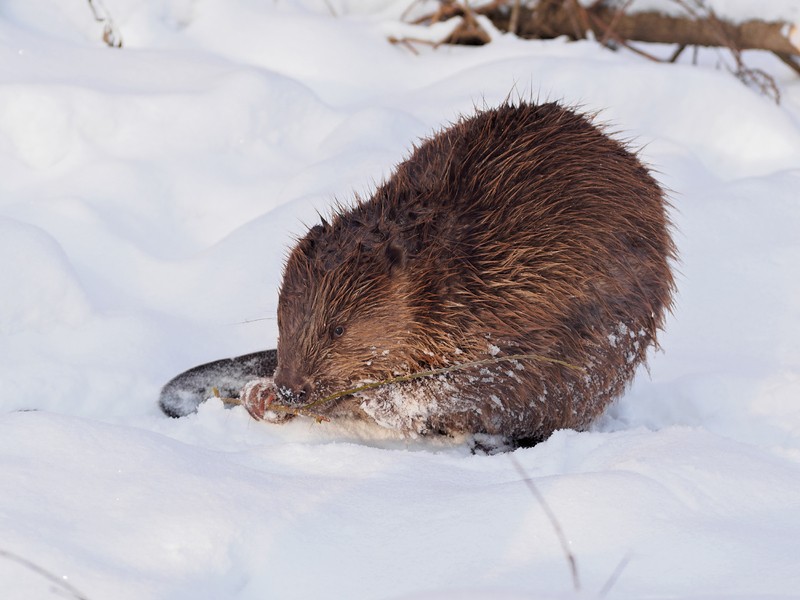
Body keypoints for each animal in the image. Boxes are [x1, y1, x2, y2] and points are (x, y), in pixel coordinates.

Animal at [255, 99, 676, 446]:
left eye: (338, 328)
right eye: (283, 320)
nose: (291, 389)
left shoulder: (523, 305)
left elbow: (477, 381)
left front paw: (366, 396)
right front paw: (261, 394)